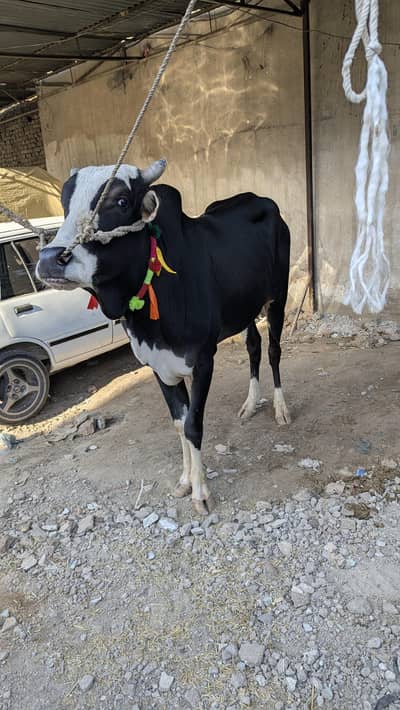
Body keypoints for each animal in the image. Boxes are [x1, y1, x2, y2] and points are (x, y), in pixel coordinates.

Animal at [37, 159, 291, 514]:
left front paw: (201, 493)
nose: (50, 259)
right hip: (245, 307)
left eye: (121, 201)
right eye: (64, 203)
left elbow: (193, 424)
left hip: (277, 297)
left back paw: (281, 409)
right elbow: (178, 423)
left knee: (274, 351)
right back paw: (250, 404)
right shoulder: (158, 365)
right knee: (254, 346)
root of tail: (258, 198)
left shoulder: (203, 360)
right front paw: (186, 480)